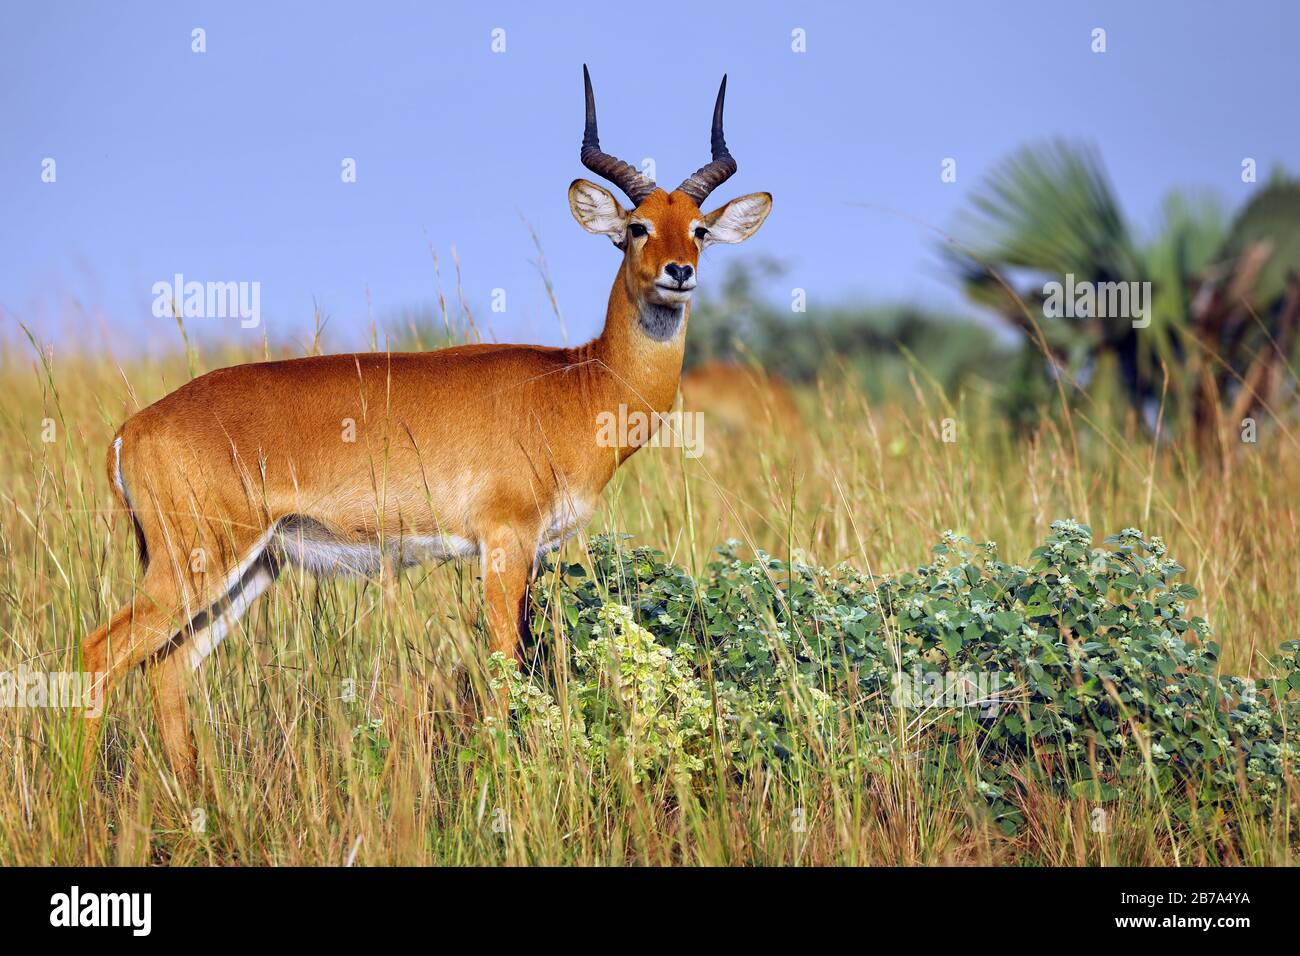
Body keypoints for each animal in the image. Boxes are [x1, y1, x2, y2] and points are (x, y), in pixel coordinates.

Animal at [83, 69, 769, 785]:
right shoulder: (504, 541)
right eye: (637, 227)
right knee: (100, 653)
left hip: (251, 569)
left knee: (166, 671)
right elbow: (503, 672)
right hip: (197, 562)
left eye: (699, 230)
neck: (579, 383)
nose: (679, 272)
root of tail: (131, 430)